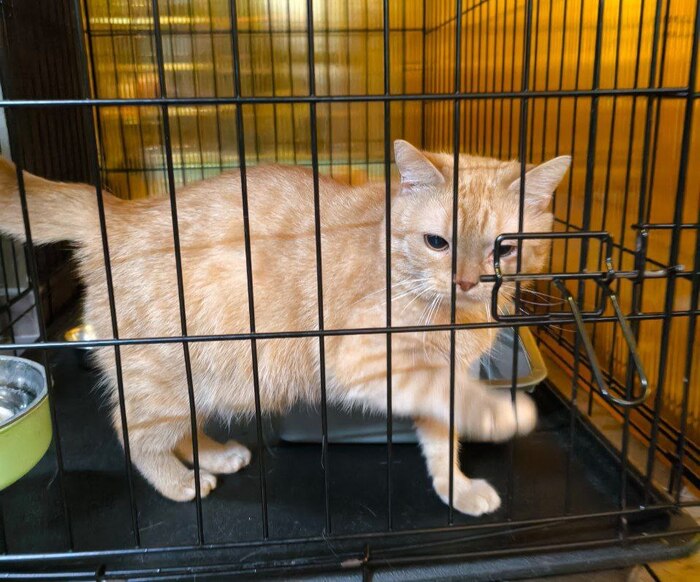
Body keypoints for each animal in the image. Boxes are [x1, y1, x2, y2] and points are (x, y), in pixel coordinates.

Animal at [0, 140, 570, 515]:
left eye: (503, 248)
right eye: (437, 242)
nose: (468, 281)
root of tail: (119, 212)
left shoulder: (437, 376)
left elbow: (443, 438)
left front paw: (457, 488)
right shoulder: (373, 360)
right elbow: (455, 401)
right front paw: (501, 415)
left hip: (200, 381)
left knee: (182, 430)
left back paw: (216, 456)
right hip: (164, 379)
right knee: (133, 434)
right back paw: (179, 483)